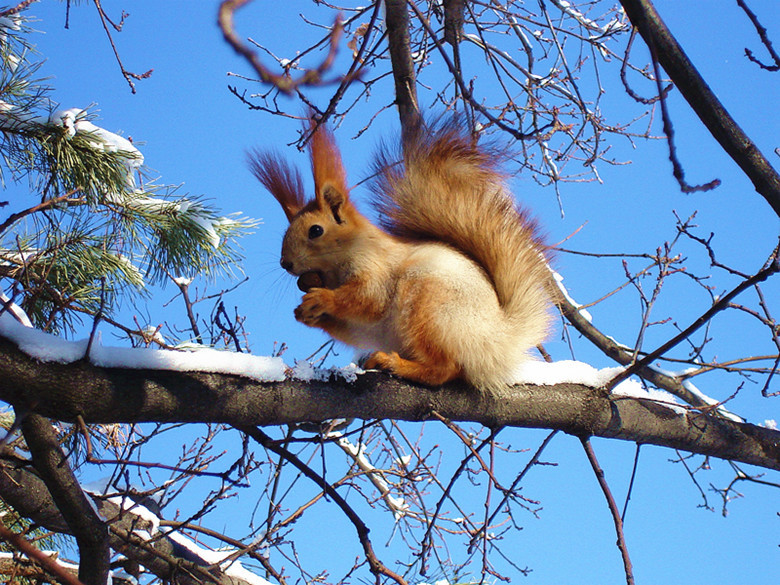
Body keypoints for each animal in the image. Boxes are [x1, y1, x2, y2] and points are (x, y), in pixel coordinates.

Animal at [251, 117, 556, 392]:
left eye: (315, 230)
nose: (285, 263)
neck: (336, 268)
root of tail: (499, 341)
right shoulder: (356, 322)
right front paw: (306, 312)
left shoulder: (376, 267)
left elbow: (368, 299)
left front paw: (324, 299)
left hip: (428, 305)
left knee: (444, 369)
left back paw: (393, 363)